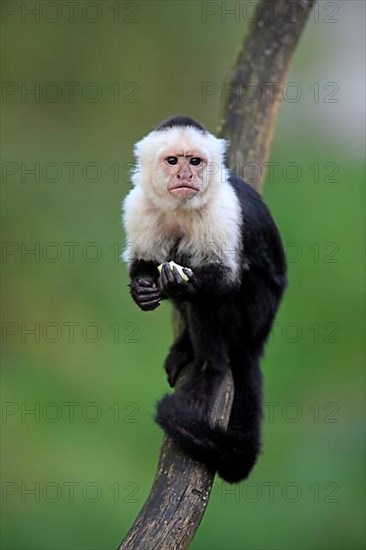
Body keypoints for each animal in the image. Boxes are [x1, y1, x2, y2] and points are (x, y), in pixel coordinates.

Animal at [121, 115, 288, 484]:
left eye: (195, 161)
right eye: (173, 161)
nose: (186, 175)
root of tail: (257, 341)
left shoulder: (222, 209)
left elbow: (225, 280)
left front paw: (179, 284)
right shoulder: (137, 206)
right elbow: (143, 262)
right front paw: (143, 289)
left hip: (253, 315)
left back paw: (210, 370)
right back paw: (185, 345)